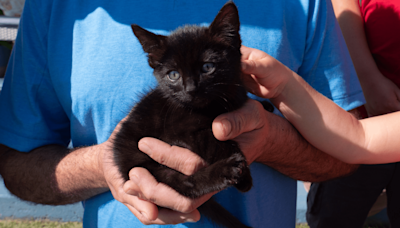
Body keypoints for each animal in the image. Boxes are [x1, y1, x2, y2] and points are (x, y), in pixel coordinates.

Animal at [114, 2, 260, 228]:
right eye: (173, 75)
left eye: (207, 67)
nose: (191, 89)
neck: (213, 106)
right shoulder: (177, 132)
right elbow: (214, 140)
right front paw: (244, 177)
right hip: (145, 165)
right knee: (185, 185)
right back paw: (226, 170)